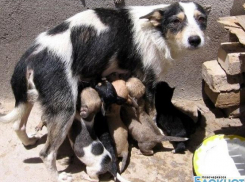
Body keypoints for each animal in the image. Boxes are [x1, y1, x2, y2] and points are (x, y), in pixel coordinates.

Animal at [0, 1, 209, 182]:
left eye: (201, 19)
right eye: (176, 21)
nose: (195, 40)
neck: (155, 29)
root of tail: (30, 55)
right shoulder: (147, 80)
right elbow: (152, 112)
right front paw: (158, 129)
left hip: (31, 97)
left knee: (17, 125)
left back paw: (28, 141)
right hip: (64, 109)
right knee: (47, 153)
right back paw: (58, 177)